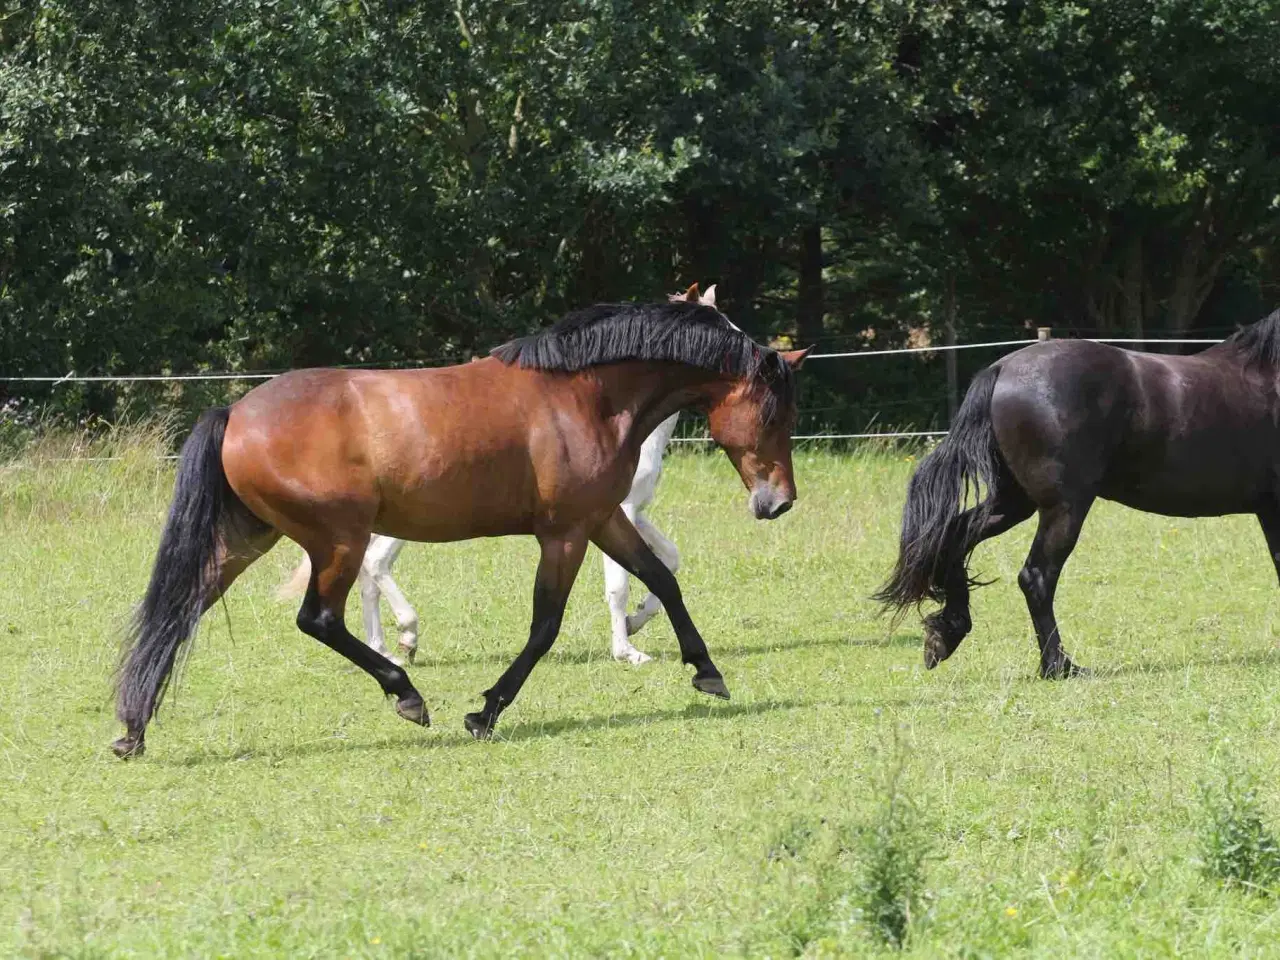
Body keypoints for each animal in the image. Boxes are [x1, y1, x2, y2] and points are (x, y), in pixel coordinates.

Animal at [279, 281, 716, 665]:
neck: (613, 414)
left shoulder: (630, 512)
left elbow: (669, 559)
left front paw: (636, 621)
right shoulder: (612, 512)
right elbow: (618, 584)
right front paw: (627, 650)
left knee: (369, 575)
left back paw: (386, 648)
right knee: (375, 564)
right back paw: (406, 634)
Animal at [875, 308, 1280, 675]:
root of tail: (1002, 369)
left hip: (1014, 503)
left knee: (955, 536)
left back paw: (946, 634)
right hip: (1064, 507)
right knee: (1037, 577)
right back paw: (1059, 666)